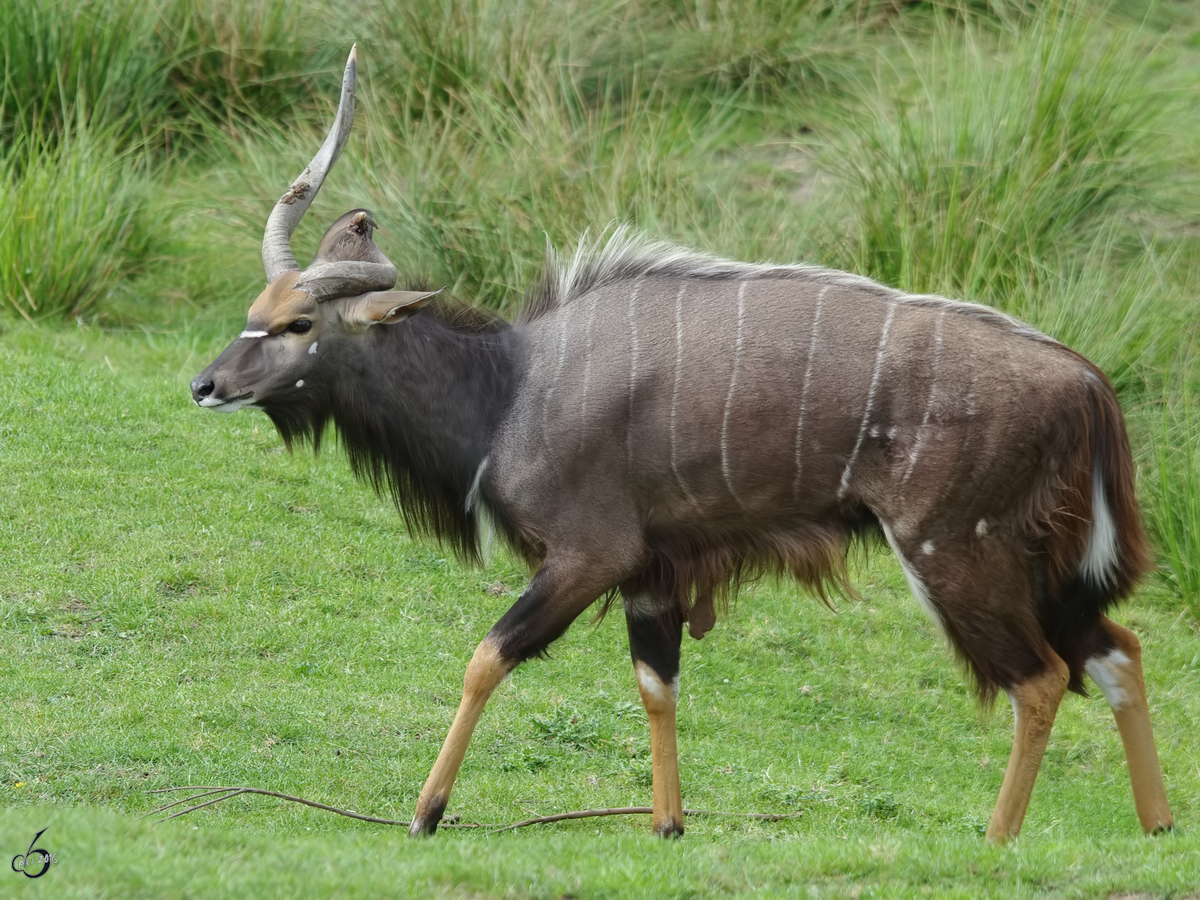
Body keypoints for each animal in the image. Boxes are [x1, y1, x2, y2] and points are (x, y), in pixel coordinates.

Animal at [189, 47, 1171, 840]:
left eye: (299, 323)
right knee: (1116, 649)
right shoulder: (652, 575)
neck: (510, 388)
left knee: (1041, 678)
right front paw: (667, 824)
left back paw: (997, 841)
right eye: (255, 310)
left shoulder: (590, 556)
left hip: (956, 554)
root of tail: (1086, 383)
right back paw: (1157, 826)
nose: (205, 384)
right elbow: (656, 685)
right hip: (1039, 566)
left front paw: (426, 812)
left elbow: (486, 657)